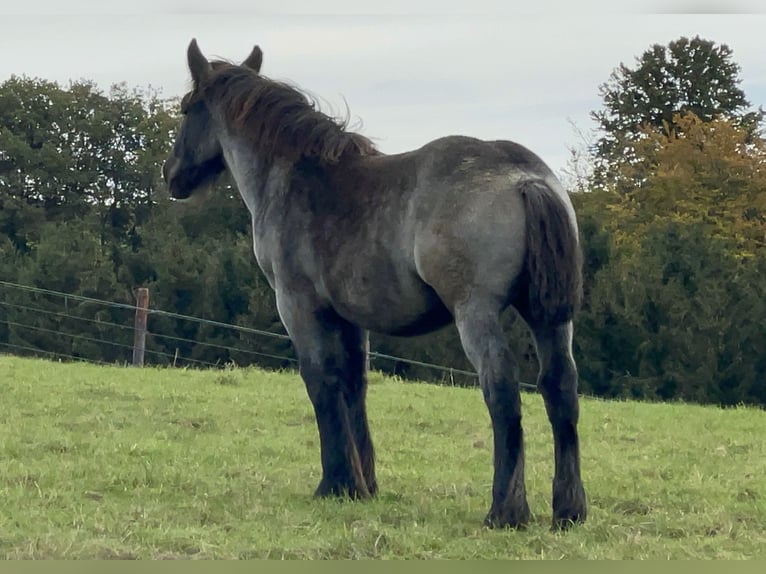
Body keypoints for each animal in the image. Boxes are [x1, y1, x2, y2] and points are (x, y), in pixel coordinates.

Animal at [164, 38, 588, 532]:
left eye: (185, 107)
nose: (173, 176)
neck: (295, 177)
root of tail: (525, 177)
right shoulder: (350, 318)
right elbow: (354, 384)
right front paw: (363, 484)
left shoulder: (299, 307)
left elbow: (322, 381)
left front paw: (335, 482)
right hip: (549, 319)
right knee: (560, 389)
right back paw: (569, 509)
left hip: (475, 312)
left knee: (501, 389)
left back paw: (506, 510)